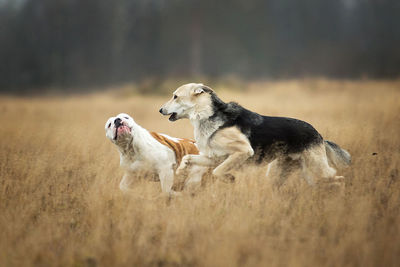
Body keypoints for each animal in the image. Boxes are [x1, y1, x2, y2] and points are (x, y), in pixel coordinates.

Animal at [159, 83, 350, 186]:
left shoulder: (243, 152)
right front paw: (181, 170)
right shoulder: (216, 157)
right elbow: (188, 158)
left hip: (316, 171)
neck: (208, 115)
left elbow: (218, 172)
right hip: (283, 174)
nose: (160, 110)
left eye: (175, 96)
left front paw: (229, 178)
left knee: (340, 180)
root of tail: (319, 135)